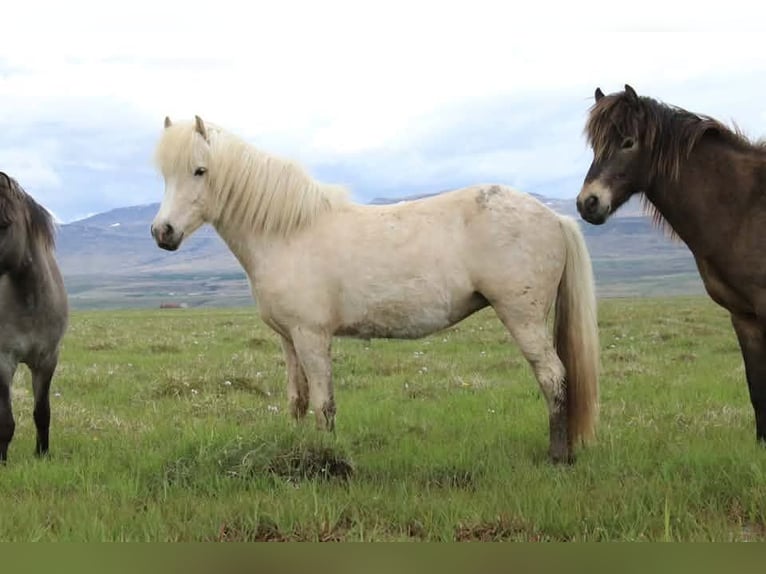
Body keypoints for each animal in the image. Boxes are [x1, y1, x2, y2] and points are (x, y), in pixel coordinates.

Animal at [151, 116, 600, 463]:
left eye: (200, 170)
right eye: (164, 174)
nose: (162, 232)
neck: (288, 233)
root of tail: (555, 217)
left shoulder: (312, 336)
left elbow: (324, 406)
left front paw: (328, 461)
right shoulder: (288, 339)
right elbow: (297, 401)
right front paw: (296, 451)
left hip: (522, 317)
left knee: (554, 378)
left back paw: (558, 457)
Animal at [577, 84, 766, 443]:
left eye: (628, 142)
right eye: (595, 145)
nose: (587, 203)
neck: (744, 207)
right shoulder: (743, 316)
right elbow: (756, 388)